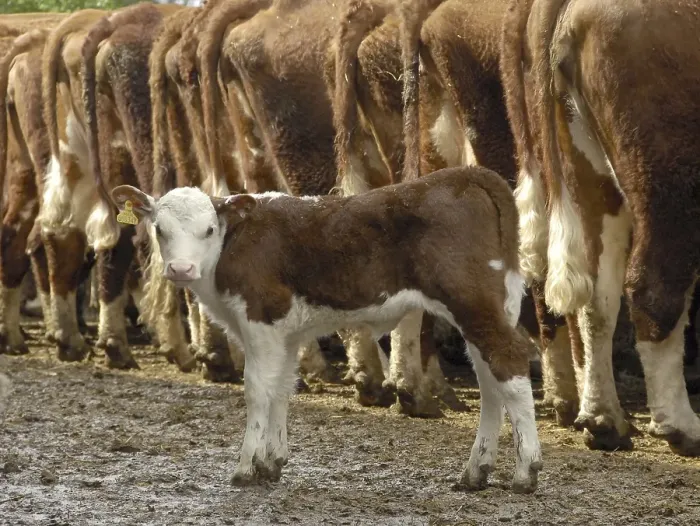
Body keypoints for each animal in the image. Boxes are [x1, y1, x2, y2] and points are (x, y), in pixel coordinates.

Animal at [111, 164, 543, 493]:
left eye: (209, 230)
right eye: (160, 229)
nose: (181, 269)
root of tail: (466, 173)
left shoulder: (260, 318)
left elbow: (257, 390)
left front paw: (246, 467)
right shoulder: (285, 333)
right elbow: (282, 388)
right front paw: (271, 462)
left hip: (471, 302)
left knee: (509, 361)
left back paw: (526, 471)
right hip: (489, 306)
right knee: (490, 380)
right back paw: (476, 471)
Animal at [502, 0, 700, 456]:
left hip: (590, 174)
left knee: (595, 298)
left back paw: (603, 418)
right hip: (669, 177)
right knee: (653, 290)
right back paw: (681, 426)